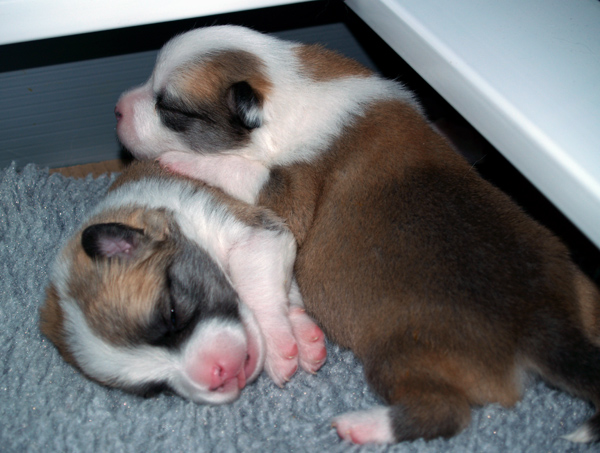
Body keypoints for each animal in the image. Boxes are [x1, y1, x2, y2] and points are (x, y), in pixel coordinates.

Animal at [39, 161, 326, 404]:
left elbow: (257, 289)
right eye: (155, 389)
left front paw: (278, 347)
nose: (217, 376)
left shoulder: (254, 232)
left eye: (172, 313)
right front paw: (303, 335)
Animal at [115, 26, 600, 444]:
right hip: (579, 282)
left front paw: (181, 161)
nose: (117, 107)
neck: (286, 84)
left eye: (169, 109)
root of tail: (543, 320)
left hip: (401, 353)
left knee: (443, 412)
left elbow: (240, 171)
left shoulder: (289, 195)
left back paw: (362, 425)